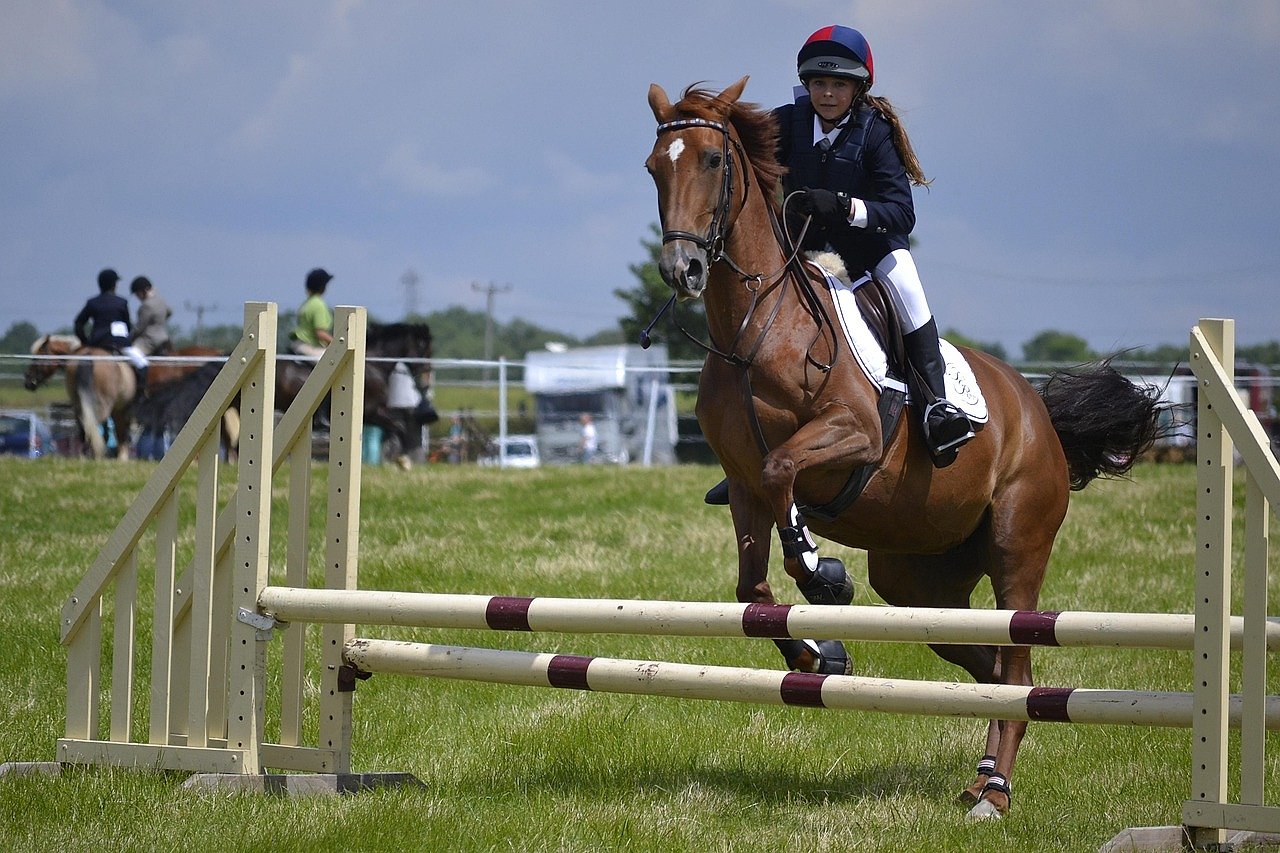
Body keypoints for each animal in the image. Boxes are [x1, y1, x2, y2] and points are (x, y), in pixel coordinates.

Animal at [275, 322, 437, 469]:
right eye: (423, 349)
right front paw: (401, 460)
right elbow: (398, 427)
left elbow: (396, 428)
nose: (425, 383)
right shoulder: (370, 412)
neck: (374, 366)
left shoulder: (378, 411)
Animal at [644, 78, 1163, 820]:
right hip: (918, 576)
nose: (681, 268)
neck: (756, 328)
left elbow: (784, 472)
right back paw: (983, 772)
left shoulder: (850, 435)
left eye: (714, 160)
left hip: (1016, 546)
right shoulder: (741, 483)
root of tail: (1037, 412)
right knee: (989, 663)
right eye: (655, 168)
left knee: (1018, 659)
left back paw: (995, 792)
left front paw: (824, 574)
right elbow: (753, 588)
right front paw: (817, 657)